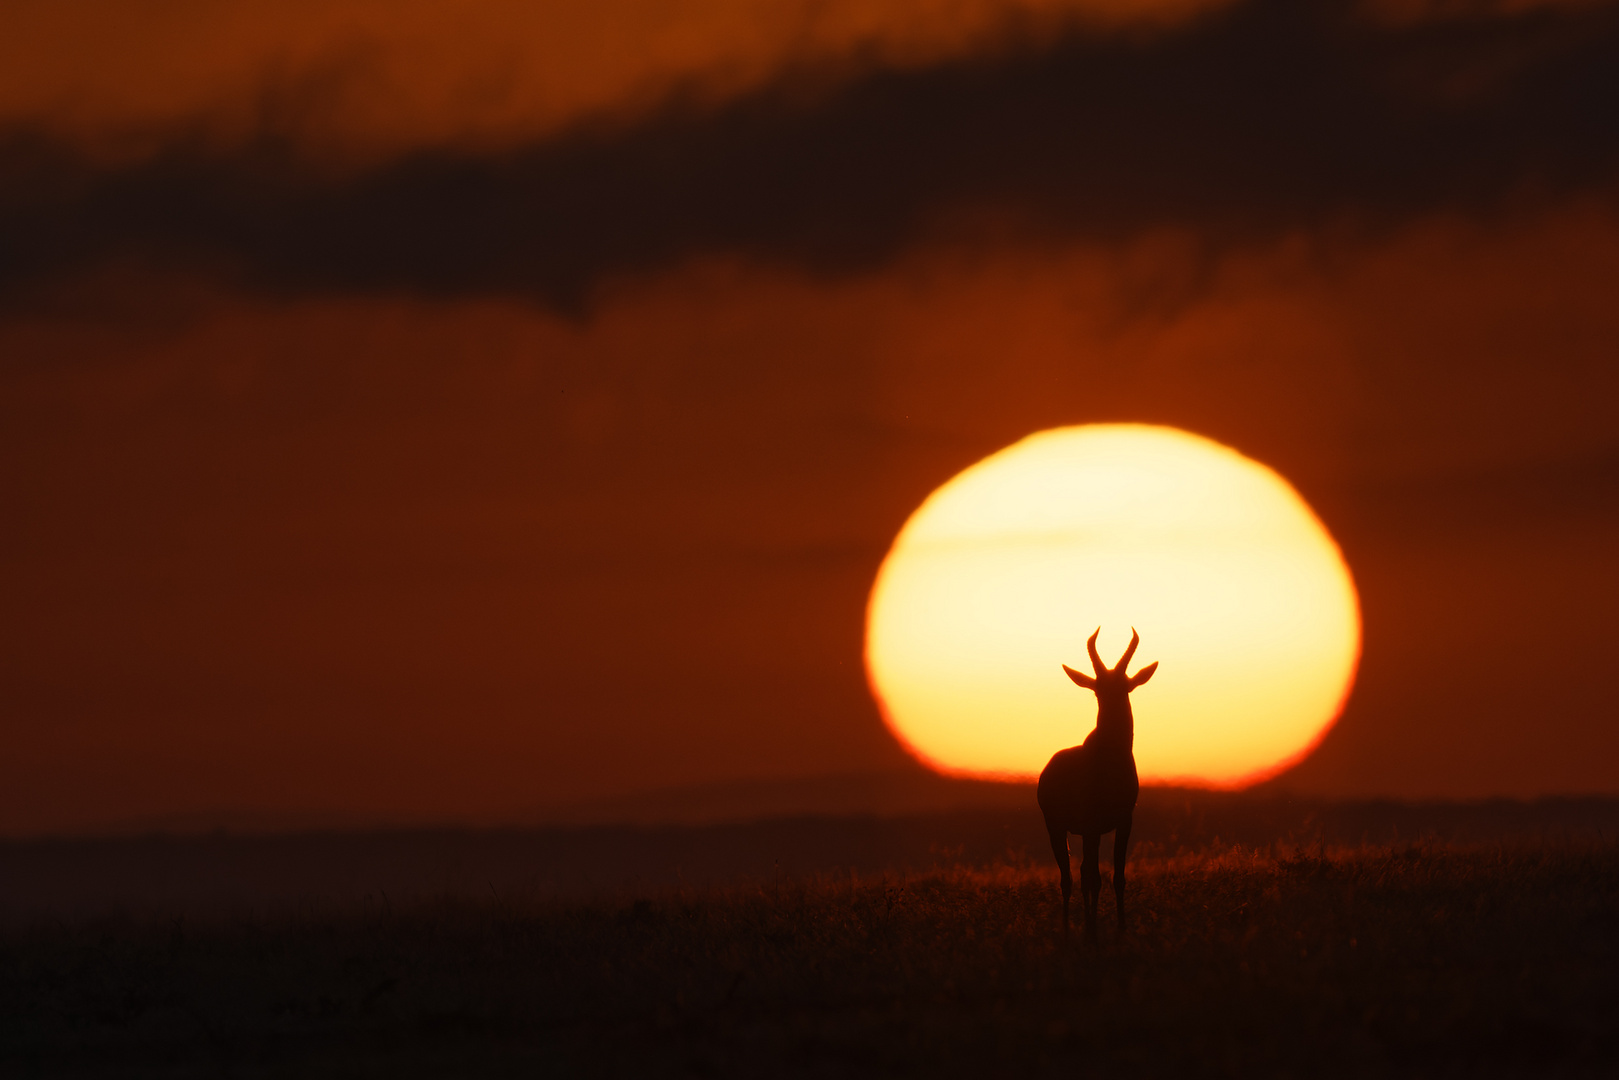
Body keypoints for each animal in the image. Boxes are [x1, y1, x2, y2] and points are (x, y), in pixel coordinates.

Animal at [1042, 625, 1159, 939]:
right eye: (1097, 690)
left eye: (1125, 687)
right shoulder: (1091, 825)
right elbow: (1092, 878)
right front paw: (1092, 932)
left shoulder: (1123, 822)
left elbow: (1118, 876)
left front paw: (1121, 928)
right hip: (1057, 829)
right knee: (1069, 877)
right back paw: (1071, 929)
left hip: (1084, 833)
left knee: (1084, 871)